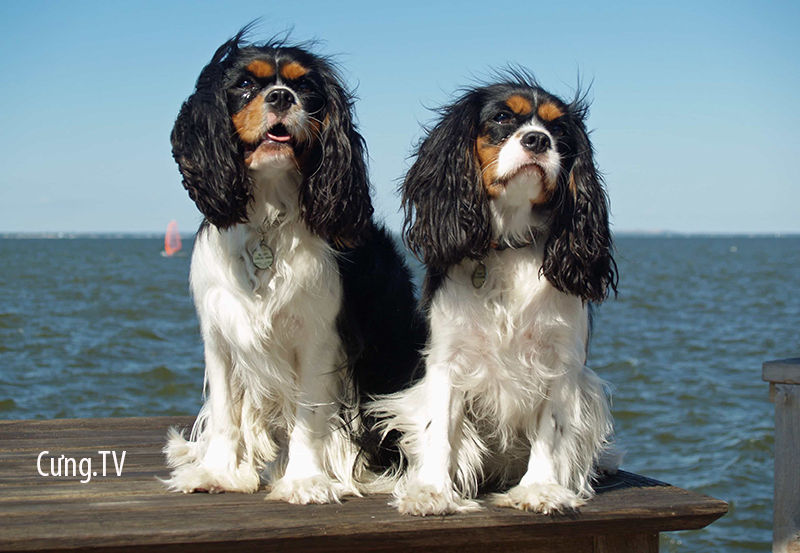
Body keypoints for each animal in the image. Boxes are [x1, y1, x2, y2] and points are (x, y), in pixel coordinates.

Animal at [164, 29, 424, 504]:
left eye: (306, 88)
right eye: (245, 85)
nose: (282, 97)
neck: (270, 211)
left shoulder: (320, 337)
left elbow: (309, 415)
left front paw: (305, 480)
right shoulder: (220, 333)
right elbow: (226, 412)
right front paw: (217, 472)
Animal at [368, 71, 620, 516]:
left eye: (559, 131)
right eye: (503, 118)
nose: (537, 140)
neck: (511, 245)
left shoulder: (561, 363)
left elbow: (552, 431)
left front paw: (540, 489)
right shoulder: (447, 359)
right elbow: (438, 428)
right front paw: (432, 491)